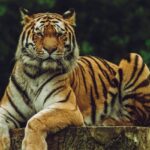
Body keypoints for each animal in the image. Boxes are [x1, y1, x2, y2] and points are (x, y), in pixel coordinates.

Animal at [0, 8, 150, 150]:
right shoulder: (6, 110)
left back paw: (107, 122)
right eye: (40, 34)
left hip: (133, 57)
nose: (50, 49)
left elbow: (35, 120)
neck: (34, 74)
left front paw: (33, 146)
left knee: (135, 118)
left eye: (59, 34)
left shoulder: (66, 107)